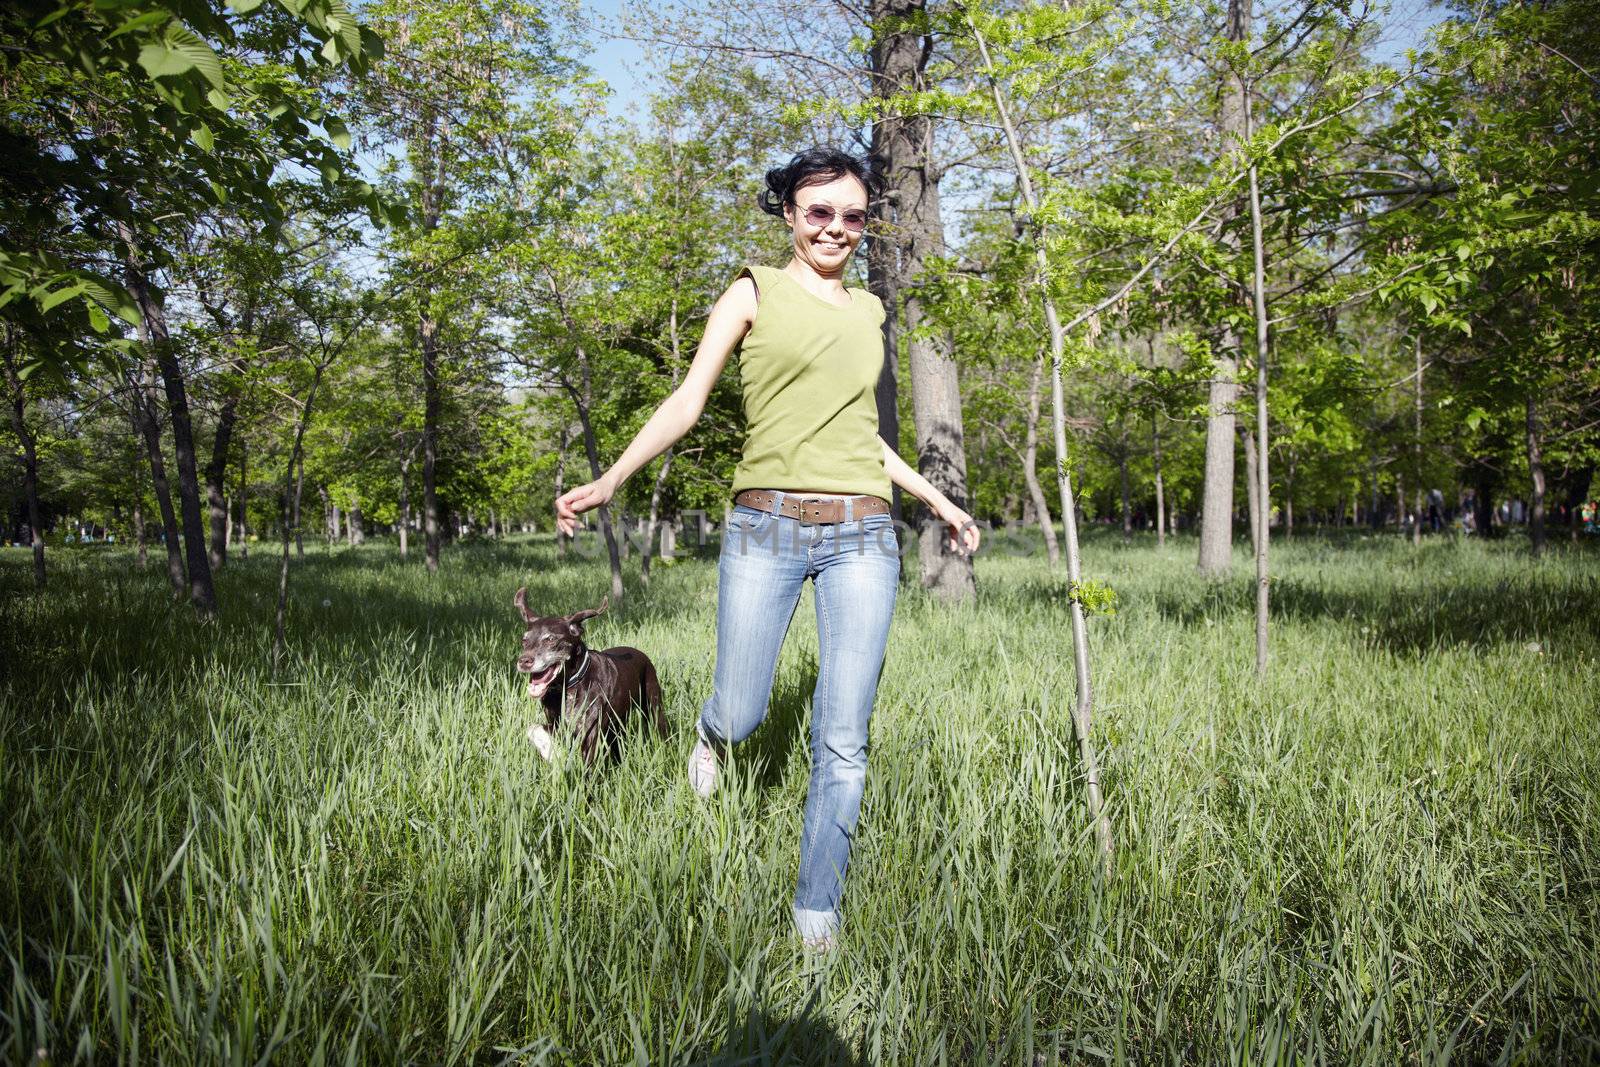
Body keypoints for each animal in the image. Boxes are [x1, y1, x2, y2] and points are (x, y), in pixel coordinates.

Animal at [512, 585, 662, 767]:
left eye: (550, 639)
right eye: (524, 640)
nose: (524, 661)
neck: (569, 688)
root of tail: (641, 654)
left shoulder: (590, 733)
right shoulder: (557, 724)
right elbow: (533, 727)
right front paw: (550, 750)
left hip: (654, 708)